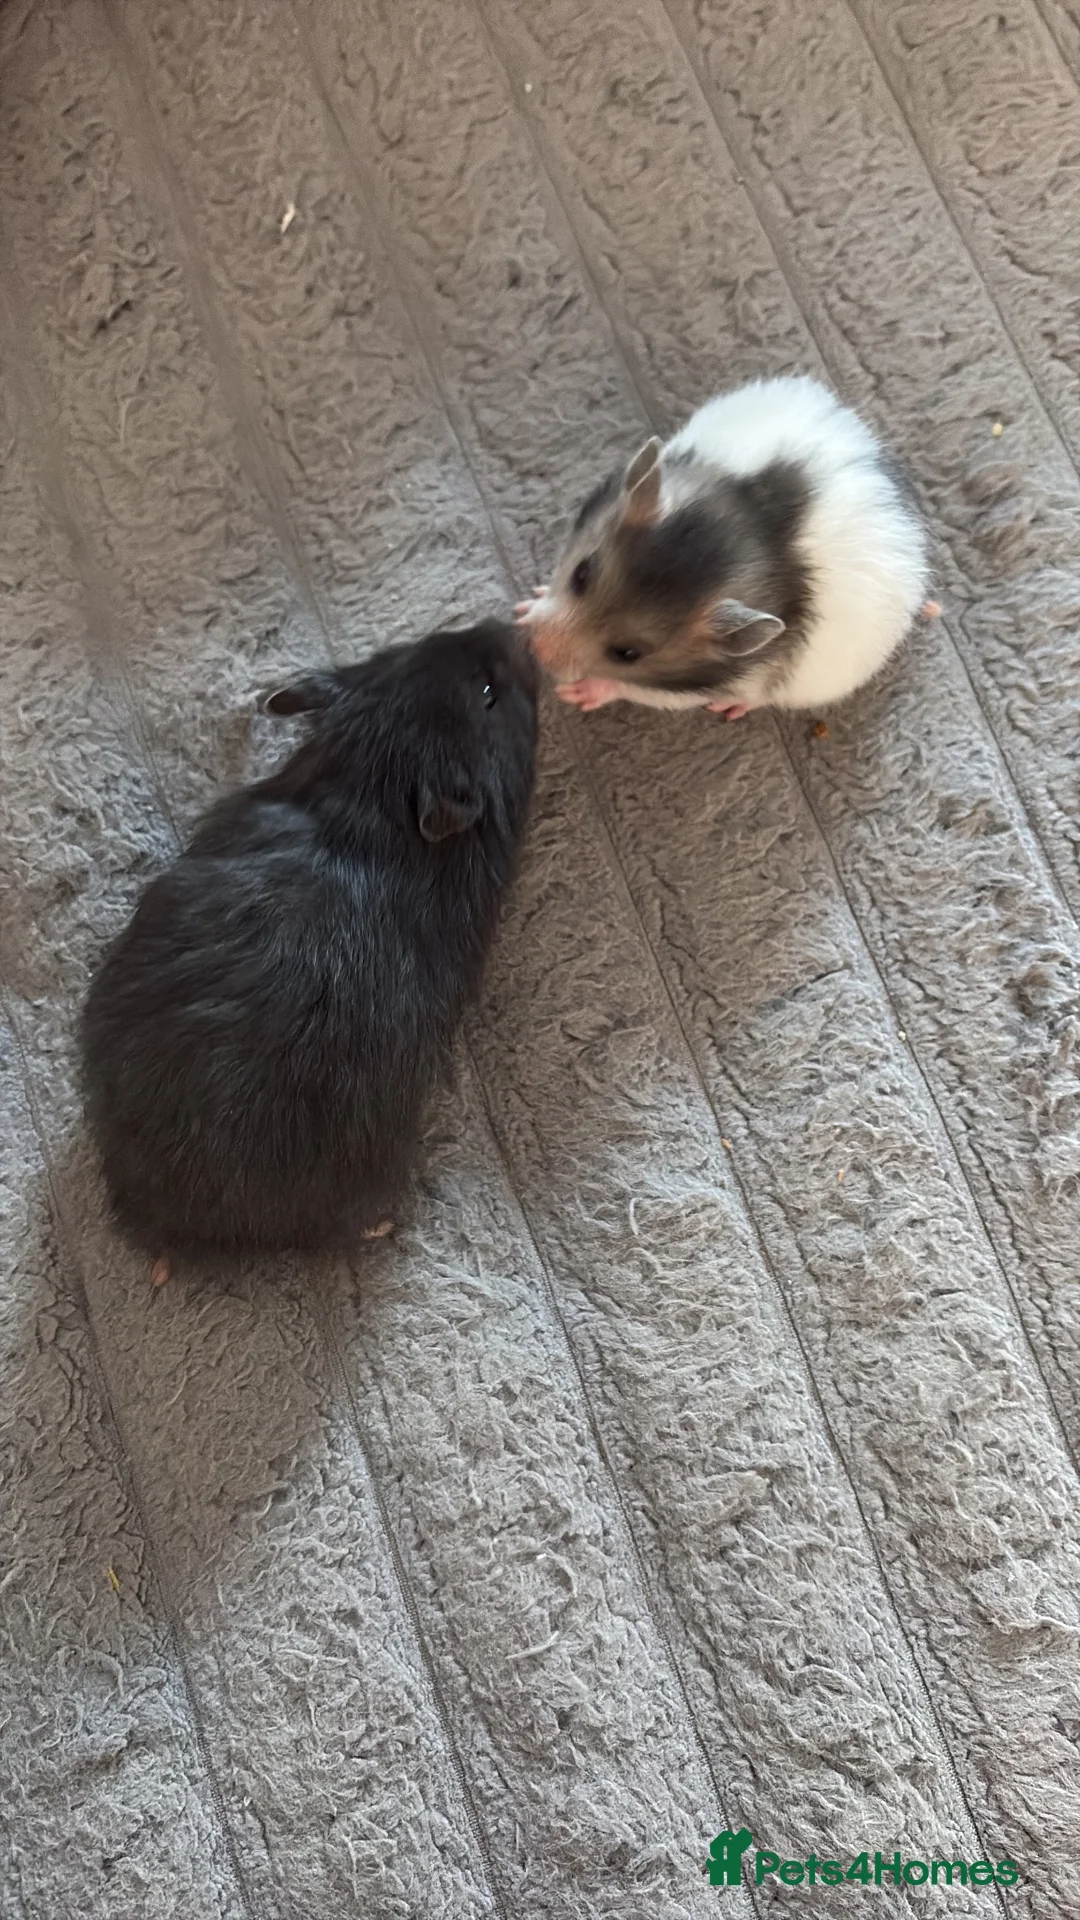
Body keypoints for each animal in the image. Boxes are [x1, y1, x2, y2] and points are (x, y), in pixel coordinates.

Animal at [518, 375, 931, 719]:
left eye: (628, 653)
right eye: (581, 573)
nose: (534, 648)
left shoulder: (706, 684)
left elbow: (638, 689)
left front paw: (579, 692)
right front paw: (525, 608)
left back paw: (732, 709)